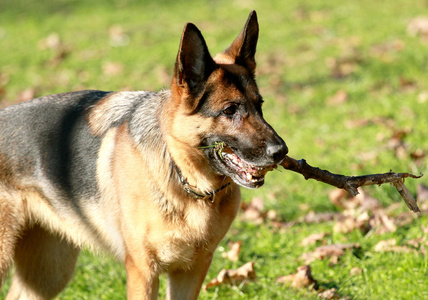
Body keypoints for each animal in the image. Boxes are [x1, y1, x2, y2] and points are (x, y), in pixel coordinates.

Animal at [0, 10, 288, 298]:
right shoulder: (142, 270)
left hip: (51, 270)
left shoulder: (191, 270)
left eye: (260, 105)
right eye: (229, 110)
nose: (281, 152)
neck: (181, 175)